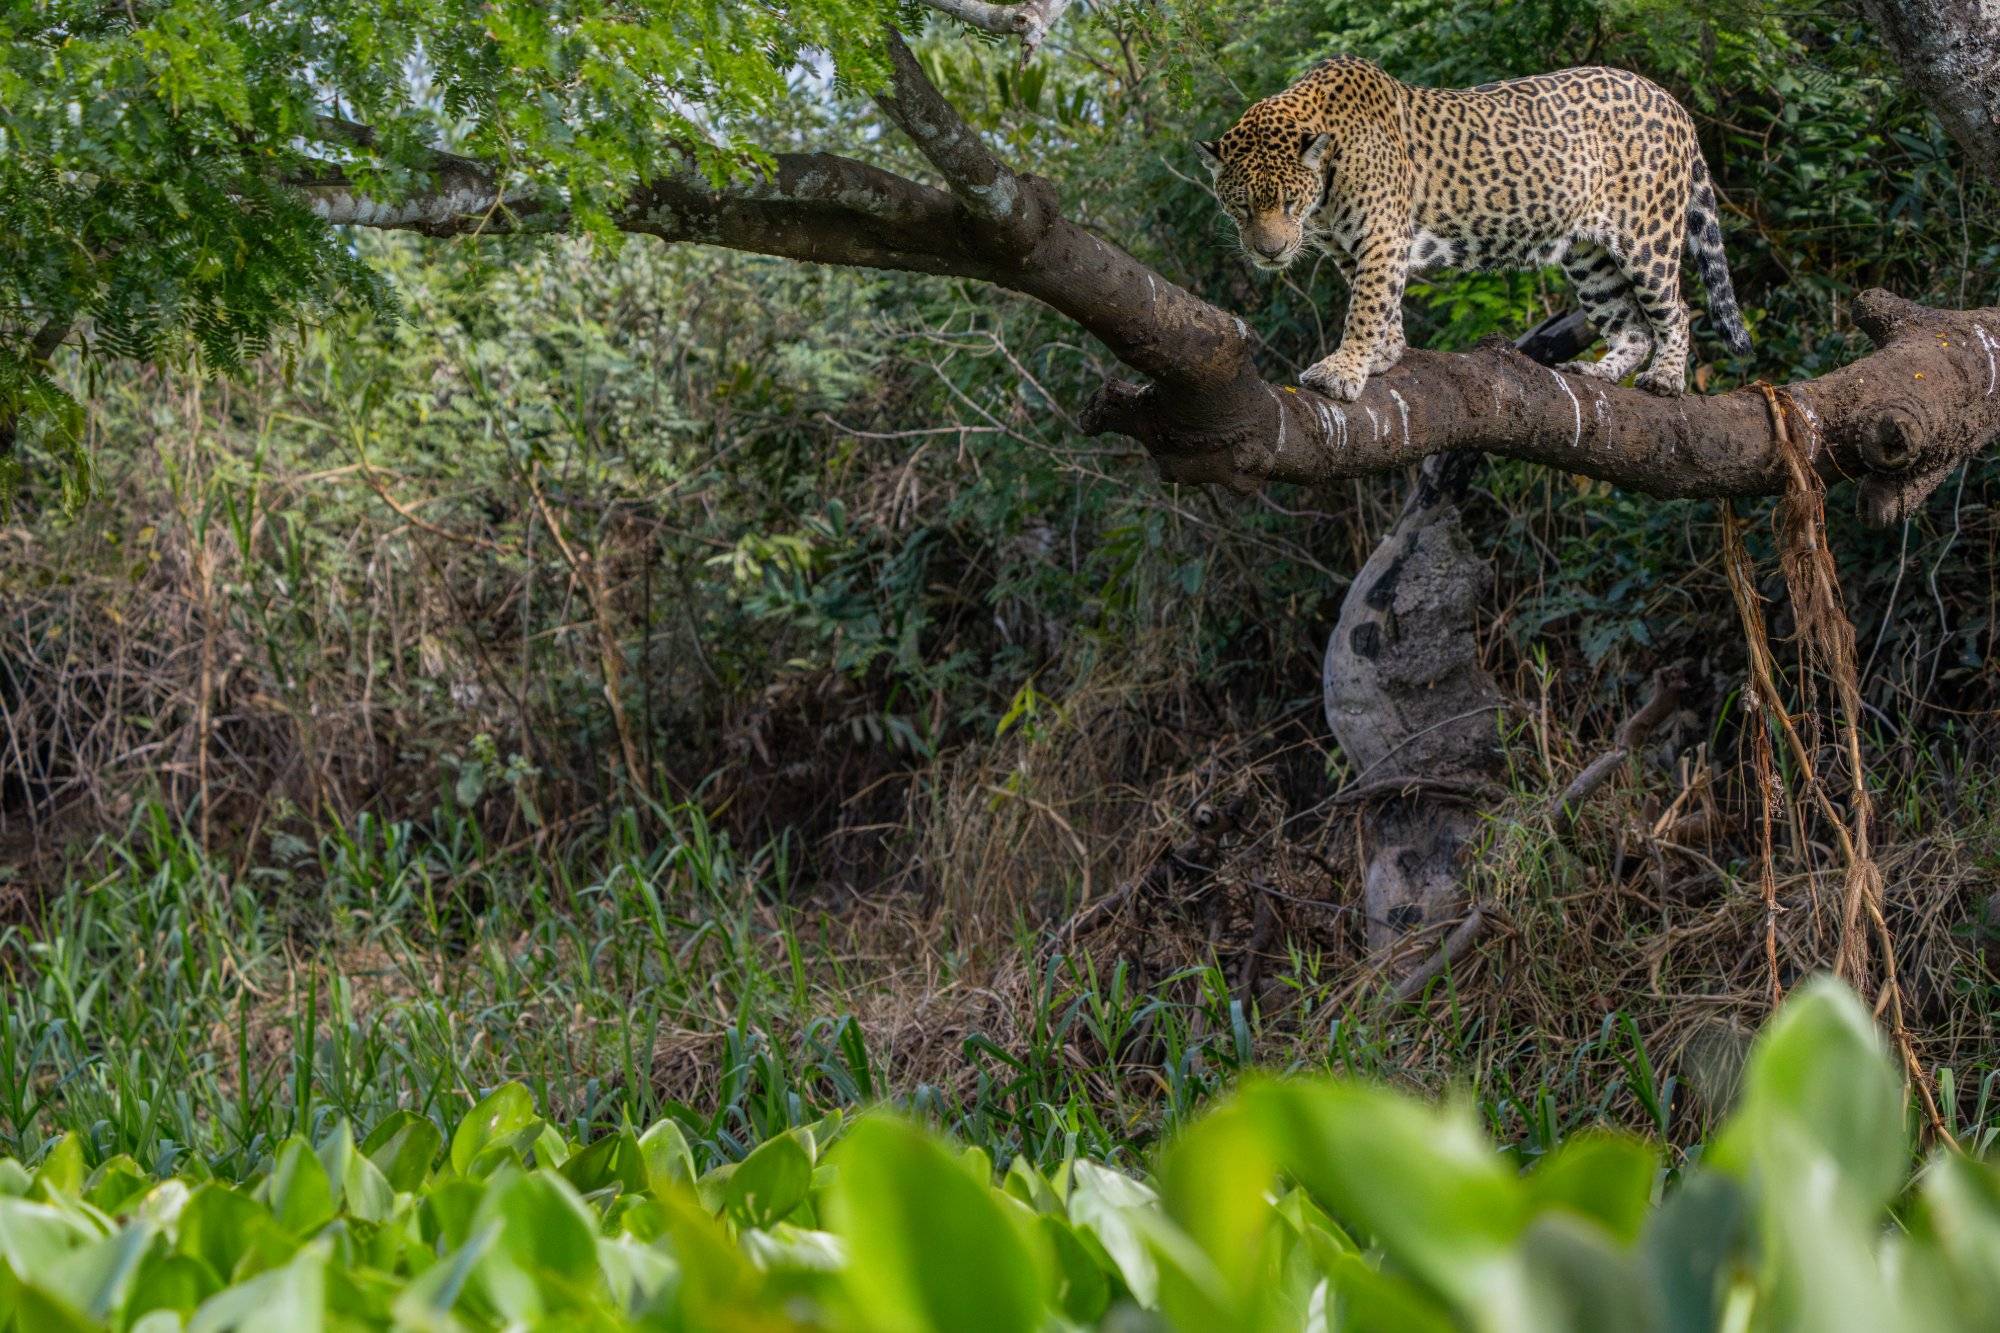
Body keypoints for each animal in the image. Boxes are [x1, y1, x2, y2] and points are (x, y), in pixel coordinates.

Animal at [1199, 56, 1752, 401]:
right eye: (1241, 207)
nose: (1270, 253)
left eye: (1289, 202)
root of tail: (1671, 100)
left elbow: (1365, 307)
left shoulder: (1381, 238)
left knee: (1676, 310)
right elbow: (1380, 305)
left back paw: (1666, 380)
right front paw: (1383, 355)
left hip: (1648, 236)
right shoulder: (1353, 250)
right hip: (1589, 256)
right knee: (1631, 327)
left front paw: (1343, 370)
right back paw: (1596, 371)